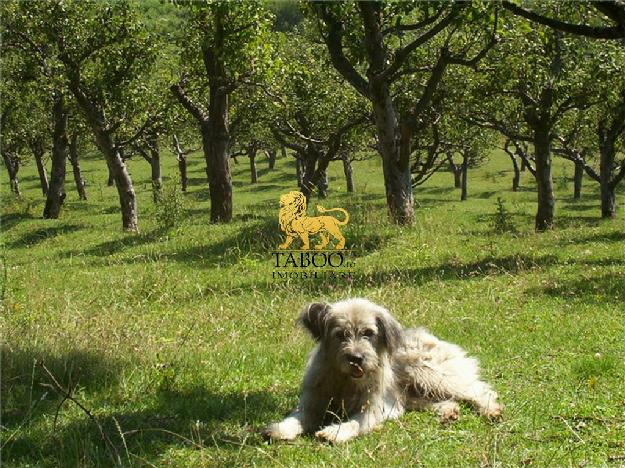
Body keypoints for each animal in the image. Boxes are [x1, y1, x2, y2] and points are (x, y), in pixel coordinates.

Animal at [264, 298, 502, 444]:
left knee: (478, 389)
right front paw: (280, 428)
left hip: (427, 373)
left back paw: (491, 409)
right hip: (410, 393)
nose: (356, 359)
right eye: (340, 334)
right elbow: (297, 417)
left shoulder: (372, 409)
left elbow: (354, 423)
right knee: (443, 400)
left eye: (368, 333)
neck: (345, 382)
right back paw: (448, 411)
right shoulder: (312, 403)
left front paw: (336, 431)